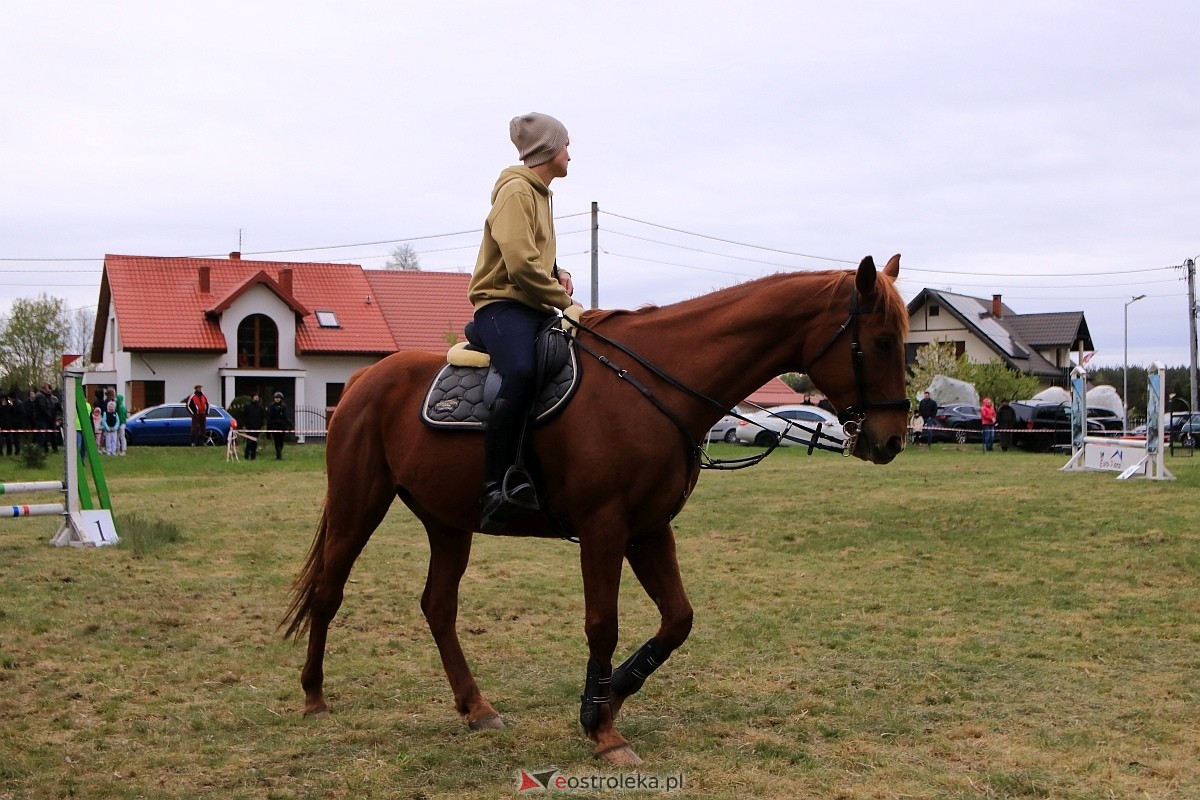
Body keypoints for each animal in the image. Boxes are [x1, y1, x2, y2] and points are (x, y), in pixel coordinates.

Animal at [283, 255, 907, 762]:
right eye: (881, 342)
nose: (891, 440)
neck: (656, 385)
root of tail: (362, 380)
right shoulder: (605, 528)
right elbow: (602, 624)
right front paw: (605, 732)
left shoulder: (649, 530)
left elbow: (678, 620)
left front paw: (605, 700)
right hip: (358, 503)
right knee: (329, 590)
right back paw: (313, 696)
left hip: (448, 522)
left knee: (438, 606)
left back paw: (477, 707)